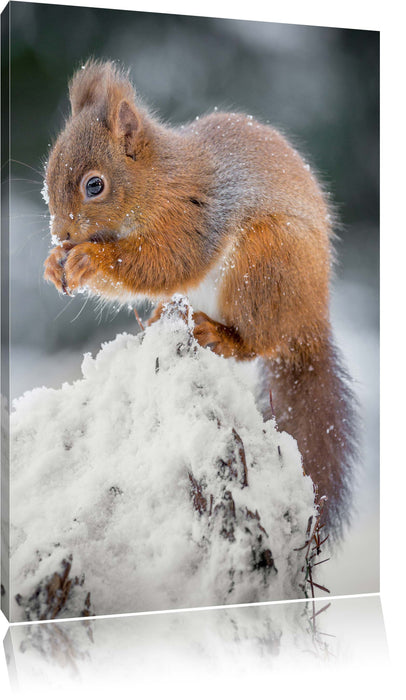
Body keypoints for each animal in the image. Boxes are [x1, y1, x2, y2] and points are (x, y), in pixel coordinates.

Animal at [43, 60, 358, 537]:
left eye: (94, 185)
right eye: (48, 172)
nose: (61, 234)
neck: (157, 180)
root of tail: (310, 318)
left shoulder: (194, 215)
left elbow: (165, 262)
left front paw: (89, 260)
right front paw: (52, 264)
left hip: (263, 265)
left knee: (256, 343)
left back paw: (219, 335)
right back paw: (161, 317)